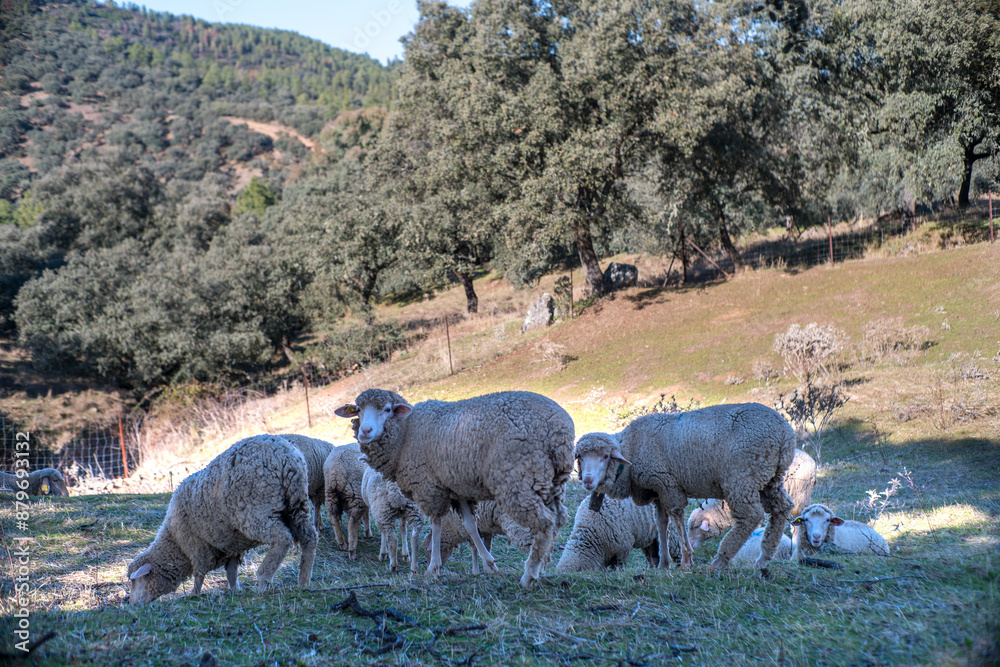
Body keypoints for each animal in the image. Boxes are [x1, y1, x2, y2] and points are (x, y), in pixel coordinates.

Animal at [126, 434, 318, 604]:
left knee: (282, 538)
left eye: (136, 581)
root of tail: (286, 455)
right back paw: (304, 580)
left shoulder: (196, 546)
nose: (130, 603)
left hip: (258, 510)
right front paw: (234, 590)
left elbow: (199, 573)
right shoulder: (232, 546)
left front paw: (194, 594)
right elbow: (231, 571)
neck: (175, 542)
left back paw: (264, 579)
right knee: (309, 537)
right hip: (297, 503)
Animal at [335, 388, 575, 588]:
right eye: (358, 410)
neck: (406, 432)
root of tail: (560, 427)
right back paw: (542, 567)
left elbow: (436, 524)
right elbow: (470, 525)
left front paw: (433, 568)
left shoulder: (429, 487)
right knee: (558, 520)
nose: (365, 431)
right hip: (552, 481)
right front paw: (490, 564)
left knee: (544, 523)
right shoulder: (456, 489)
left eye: (386, 409)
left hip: (519, 479)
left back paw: (529, 575)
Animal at [575, 403, 795, 574]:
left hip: (743, 477)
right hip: (770, 479)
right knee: (781, 509)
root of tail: (786, 434)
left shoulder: (668, 484)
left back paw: (720, 560)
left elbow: (677, 518)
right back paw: (763, 559)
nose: (588, 481)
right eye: (580, 457)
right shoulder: (658, 490)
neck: (632, 449)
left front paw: (686, 561)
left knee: (750, 516)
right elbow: (661, 523)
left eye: (605, 457)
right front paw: (663, 564)